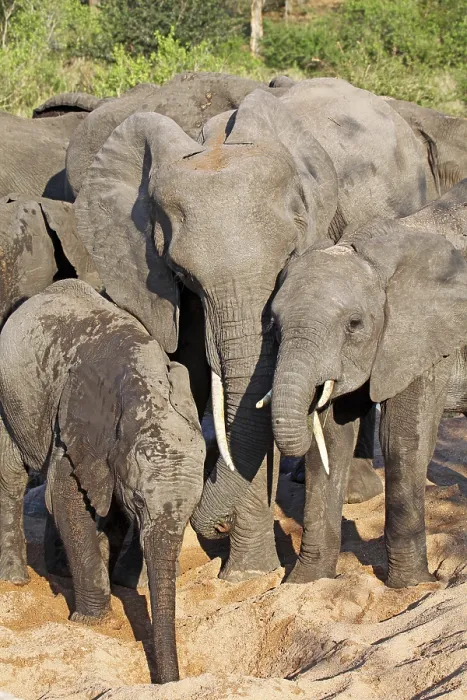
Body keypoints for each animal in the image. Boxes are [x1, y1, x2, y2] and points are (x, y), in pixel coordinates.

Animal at [0, 279, 205, 684]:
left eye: (192, 512)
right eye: (139, 501)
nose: (170, 682)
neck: (149, 388)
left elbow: (103, 509)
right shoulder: (83, 425)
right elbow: (67, 497)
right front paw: (92, 621)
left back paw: (60, 572)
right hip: (10, 402)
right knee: (12, 477)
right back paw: (14, 580)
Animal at [270, 182, 467, 587]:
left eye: (354, 324)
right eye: (274, 324)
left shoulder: (422, 337)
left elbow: (401, 439)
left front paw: (411, 585)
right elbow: (332, 440)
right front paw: (306, 583)